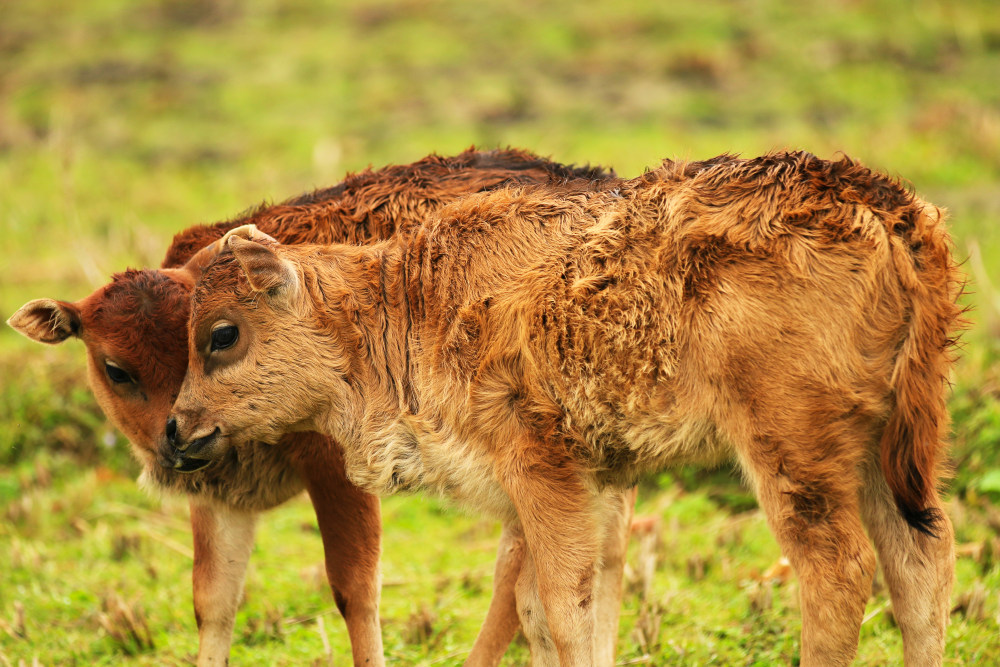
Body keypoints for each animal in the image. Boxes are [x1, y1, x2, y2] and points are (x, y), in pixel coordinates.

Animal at [7, 149, 628, 664]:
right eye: (116, 369)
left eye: (214, 339)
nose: (175, 438)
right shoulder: (219, 497)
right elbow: (213, 599)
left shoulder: (338, 470)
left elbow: (355, 589)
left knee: (525, 581)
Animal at [170, 153, 960, 667]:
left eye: (221, 335)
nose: (178, 429)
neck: (409, 301)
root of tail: (884, 206)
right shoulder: (572, 485)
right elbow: (545, 611)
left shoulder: (544, 473)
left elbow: (564, 605)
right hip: (889, 448)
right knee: (921, 561)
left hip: (794, 451)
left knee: (839, 568)